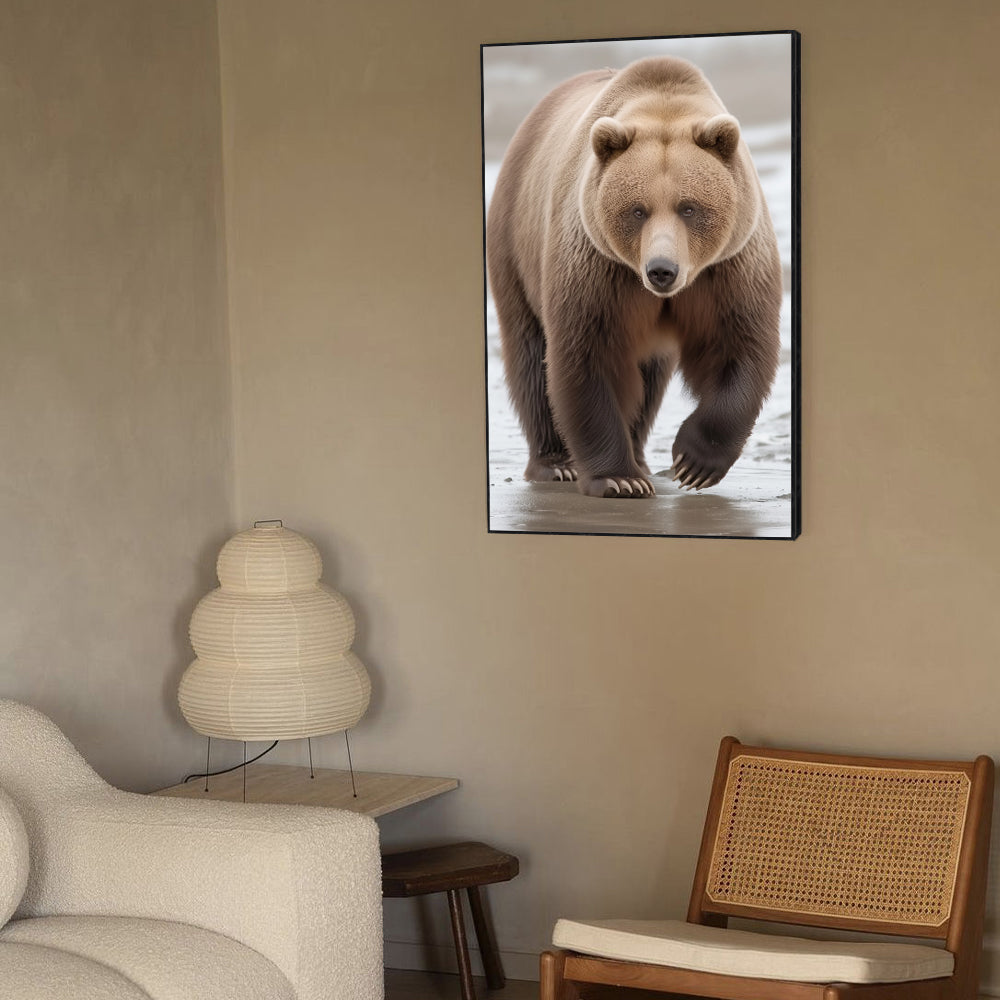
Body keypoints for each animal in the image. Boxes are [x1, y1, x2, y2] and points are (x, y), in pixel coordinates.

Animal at [486, 56, 782, 498]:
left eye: (689, 207)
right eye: (637, 210)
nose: (661, 270)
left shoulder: (728, 267)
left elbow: (738, 346)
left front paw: (694, 462)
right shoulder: (597, 266)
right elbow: (588, 354)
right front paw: (618, 478)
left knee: (650, 379)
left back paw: (641, 457)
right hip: (515, 244)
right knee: (530, 358)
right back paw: (557, 464)